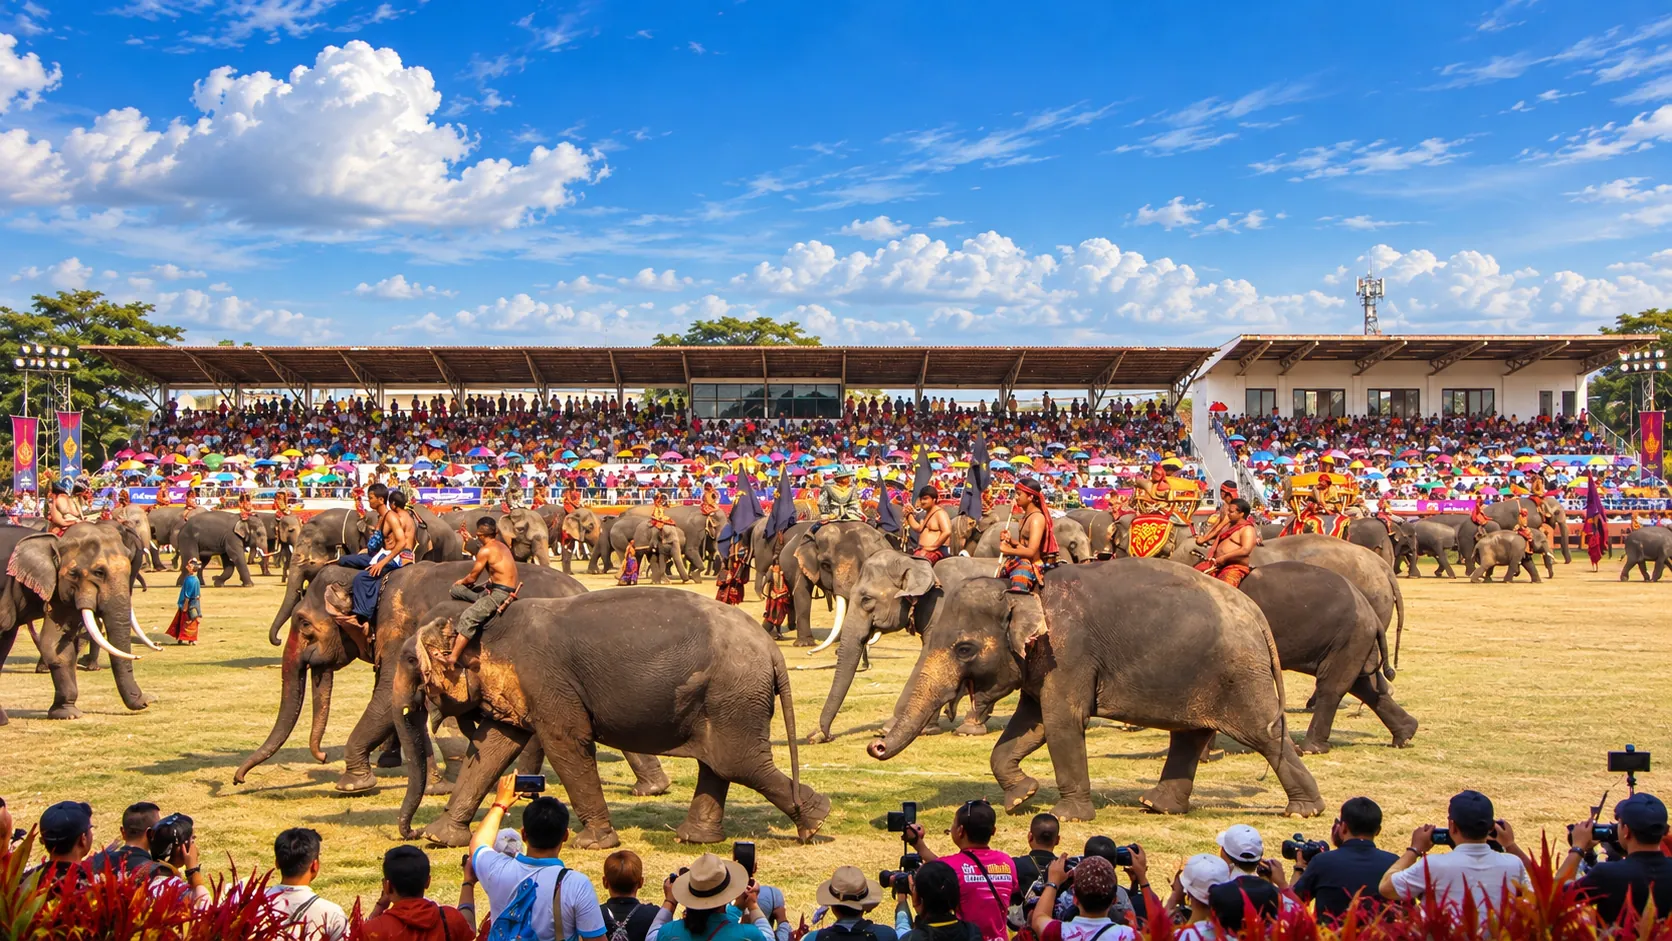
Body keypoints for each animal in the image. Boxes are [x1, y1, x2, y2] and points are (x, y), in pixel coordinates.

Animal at [0, 523, 157, 724]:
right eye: (99, 572)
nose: (146, 701)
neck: (56, 541)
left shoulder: (59, 592)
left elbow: (56, 646)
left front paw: (67, 713)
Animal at [392, 588, 831, 848]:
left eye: (411, 660)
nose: (410, 832)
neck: (490, 622)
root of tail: (771, 649)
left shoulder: (546, 678)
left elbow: (567, 741)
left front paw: (593, 844)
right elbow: (494, 746)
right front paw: (440, 839)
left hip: (733, 694)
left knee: (738, 762)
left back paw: (815, 822)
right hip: (724, 698)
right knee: (720, 763)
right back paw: (696, 839)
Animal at [867, 559, 1325, 820]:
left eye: (964, 648)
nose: (875, 744)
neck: (1022, 590)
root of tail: (1255, 614)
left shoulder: (1068, 652)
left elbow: (1060, 720)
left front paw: (1067, 815)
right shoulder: (1044, 663)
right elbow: (1031, 724)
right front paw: (1021, 798)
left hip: (1238, 674)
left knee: (1263, 734)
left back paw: (1303, 812)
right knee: (1190, 734)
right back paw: (1156, 806)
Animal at [1238, 562, 1418, 753]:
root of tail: (1372, 614)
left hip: (1348, 638)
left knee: (1332, 686)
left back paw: (1312, 748)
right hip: (1353, 640)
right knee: (1361, 684)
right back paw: (1405, 734)